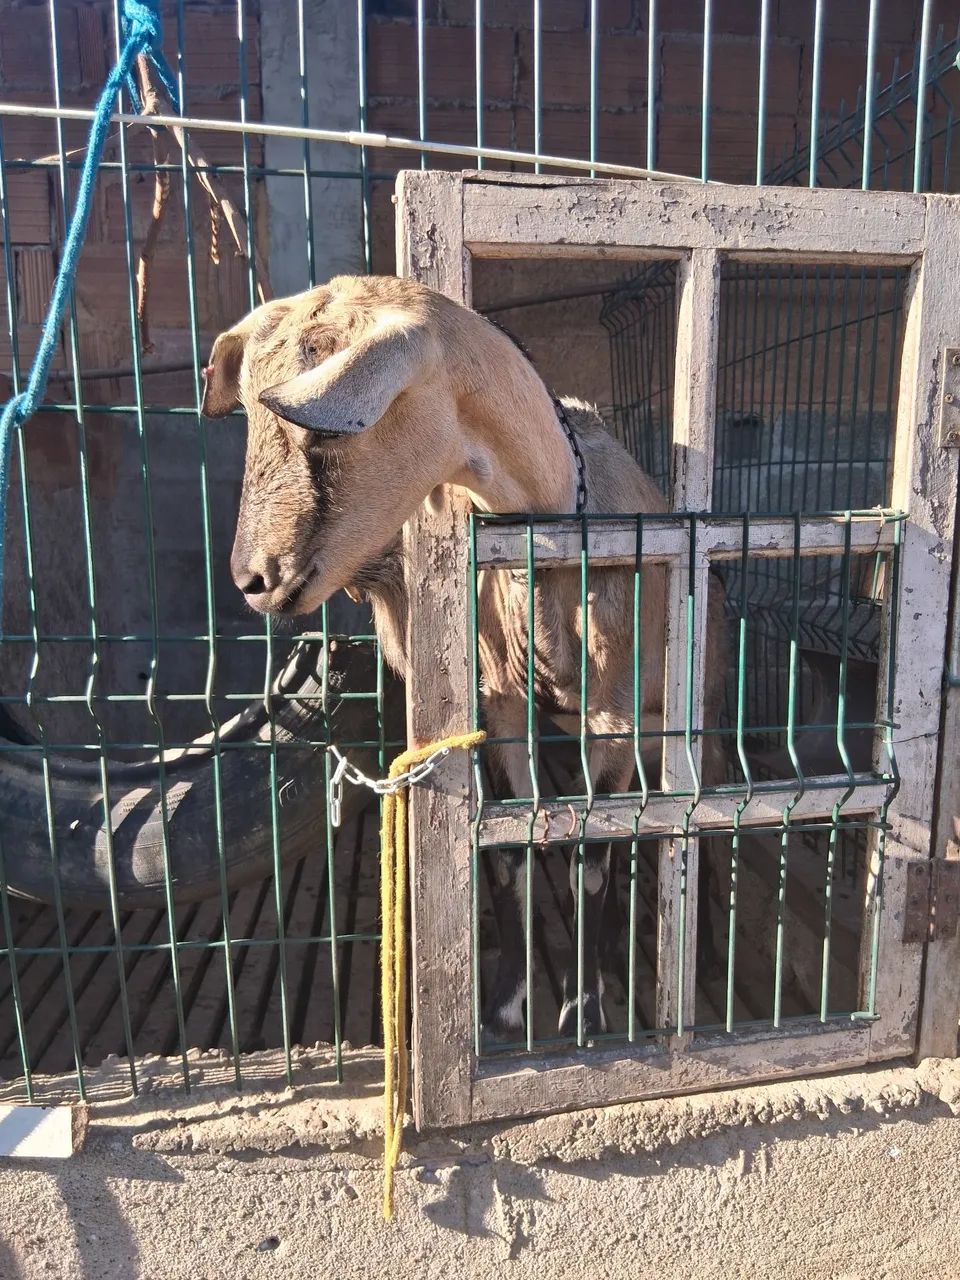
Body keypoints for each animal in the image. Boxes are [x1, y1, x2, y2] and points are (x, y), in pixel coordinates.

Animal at [203, 274, 726, 1040]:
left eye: (323, 429)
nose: (251, 578)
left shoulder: (616, 716)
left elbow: (593, 853)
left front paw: (584, 1008)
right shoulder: (502, 706)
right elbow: (509, 847)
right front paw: (507, 1003)